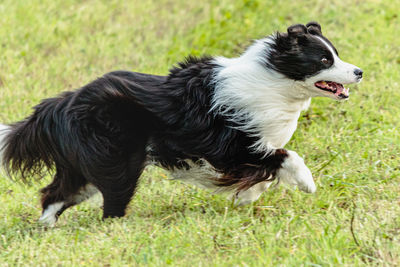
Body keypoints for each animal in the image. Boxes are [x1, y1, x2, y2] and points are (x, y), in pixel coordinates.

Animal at [0, 22, 362, 226]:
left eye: (336, 54)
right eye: (324, 60)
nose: (359, 71)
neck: (275, 81)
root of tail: (62, 103)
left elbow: (265, 168)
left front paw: (246, 196)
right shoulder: (232, 144)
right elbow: (285, 156)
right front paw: (307, 185)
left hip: (86, 164)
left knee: (54, 194)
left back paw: (47, 228)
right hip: (118, 161)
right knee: (110, 201)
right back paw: (116, 227)